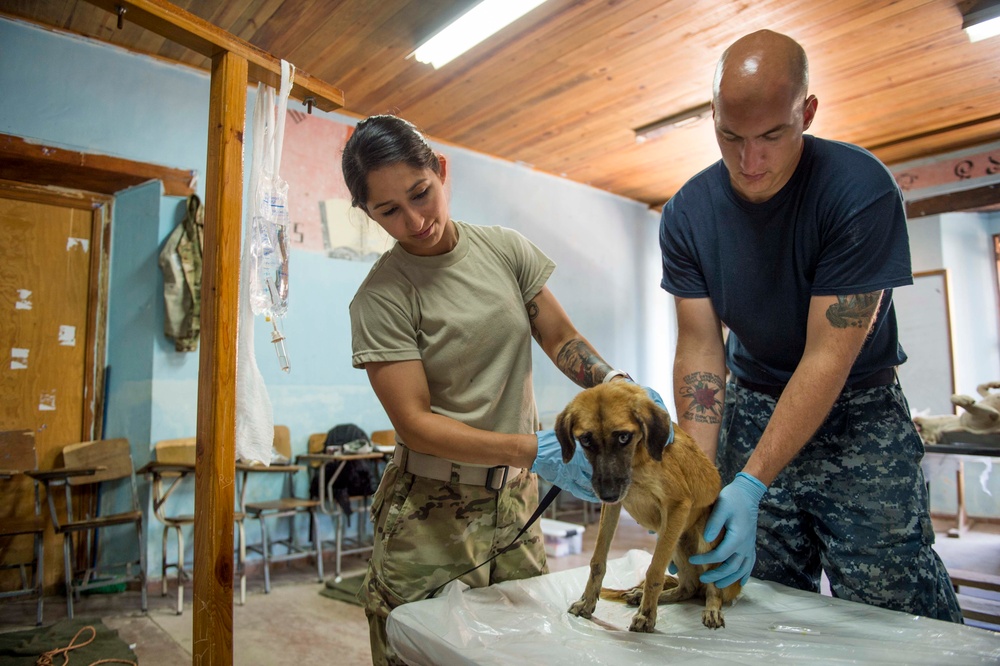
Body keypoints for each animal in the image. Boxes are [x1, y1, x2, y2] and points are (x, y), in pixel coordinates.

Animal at [556, 378, 744, 628]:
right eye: (586, 440)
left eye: (623, 437)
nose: (607, 494)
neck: (637, 461)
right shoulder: (614, 506)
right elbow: (597, 560)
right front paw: (587, 601)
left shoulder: (677, 505)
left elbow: (654, 571)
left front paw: (647, 615)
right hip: (676, 542)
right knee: (690, 587)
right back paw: (645, 595)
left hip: (701, 537)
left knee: (712, 585)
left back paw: (711, 608)